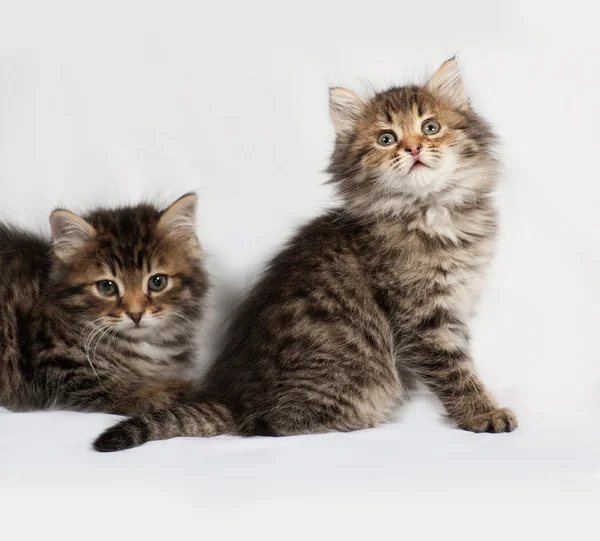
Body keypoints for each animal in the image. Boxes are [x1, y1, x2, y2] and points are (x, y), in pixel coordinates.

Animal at [0, 194, 209, 414]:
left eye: (157, 282)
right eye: (107, 287)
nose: (136, 314)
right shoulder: (65, 371)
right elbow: (143, 392)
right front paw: (186, 390)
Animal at [94, 58, 516, 452]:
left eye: (430, 127)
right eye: (386, 138)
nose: (413, 148)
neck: (431, 212)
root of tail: (234, 398)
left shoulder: (455, 305)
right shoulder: (424, 319)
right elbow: (455, 372)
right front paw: (484, 414)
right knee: (271, 424)